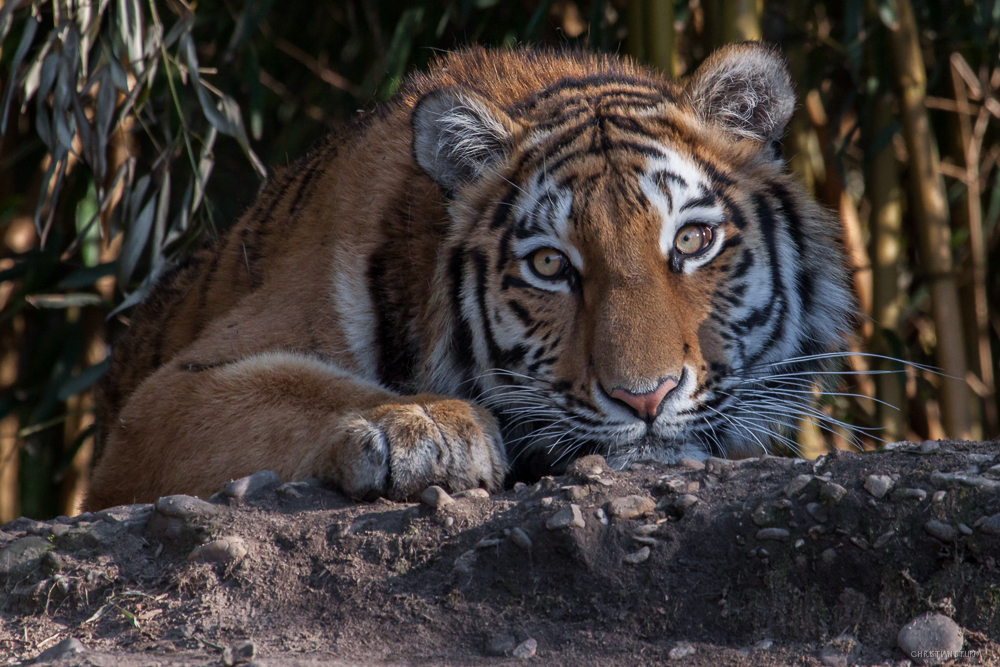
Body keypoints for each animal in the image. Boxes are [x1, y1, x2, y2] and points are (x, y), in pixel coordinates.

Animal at [84, 41, 852, 512]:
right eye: (550, 264)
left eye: (691, 240)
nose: (647, 397)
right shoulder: (157, 407)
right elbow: (291, 385)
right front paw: (425, 424)